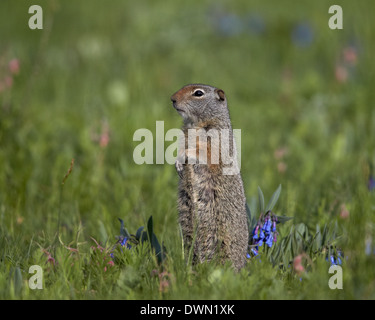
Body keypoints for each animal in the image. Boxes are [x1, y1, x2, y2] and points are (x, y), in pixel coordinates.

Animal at [171, 84, 250, 272]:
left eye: (198, 93)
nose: (172, 99)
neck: (195, 124)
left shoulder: (215, 139)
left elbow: (205, 152)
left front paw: (185, 156)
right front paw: (177, 163)